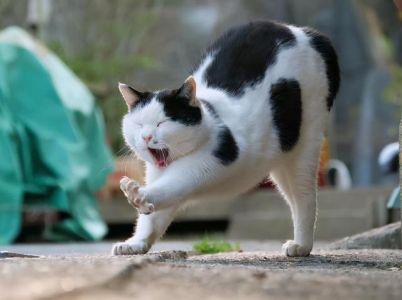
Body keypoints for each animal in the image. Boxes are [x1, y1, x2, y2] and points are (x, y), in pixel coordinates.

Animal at [112, 19, 340, 256]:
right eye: (139, 124)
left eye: (161, 123)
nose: (146, 137)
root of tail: (301, 31)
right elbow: (153, 218)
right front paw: (136, 242)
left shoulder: (202, 165)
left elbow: (170, 187)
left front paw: (139, 195)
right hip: (280, 158)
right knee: (293, 198)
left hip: (306, 143)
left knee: (305, 197)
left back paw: (302, 246)